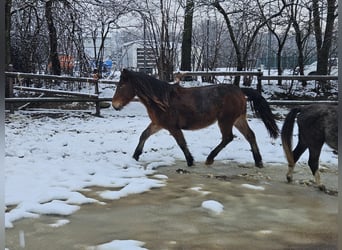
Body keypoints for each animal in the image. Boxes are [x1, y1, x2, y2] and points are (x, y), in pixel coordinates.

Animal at [112, 68, 278, 167]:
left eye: (121, 86)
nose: (114, 105)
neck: (162, 100)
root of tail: (240, 90)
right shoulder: (157, 124)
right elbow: (144, 135)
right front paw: (135, 156)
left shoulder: (172, 127)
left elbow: (181, 143)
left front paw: (190, 161)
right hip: (238, 119)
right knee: (250, 135)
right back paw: (258, 161)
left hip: (225, 121)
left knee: (228, 138)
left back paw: (210, 158)